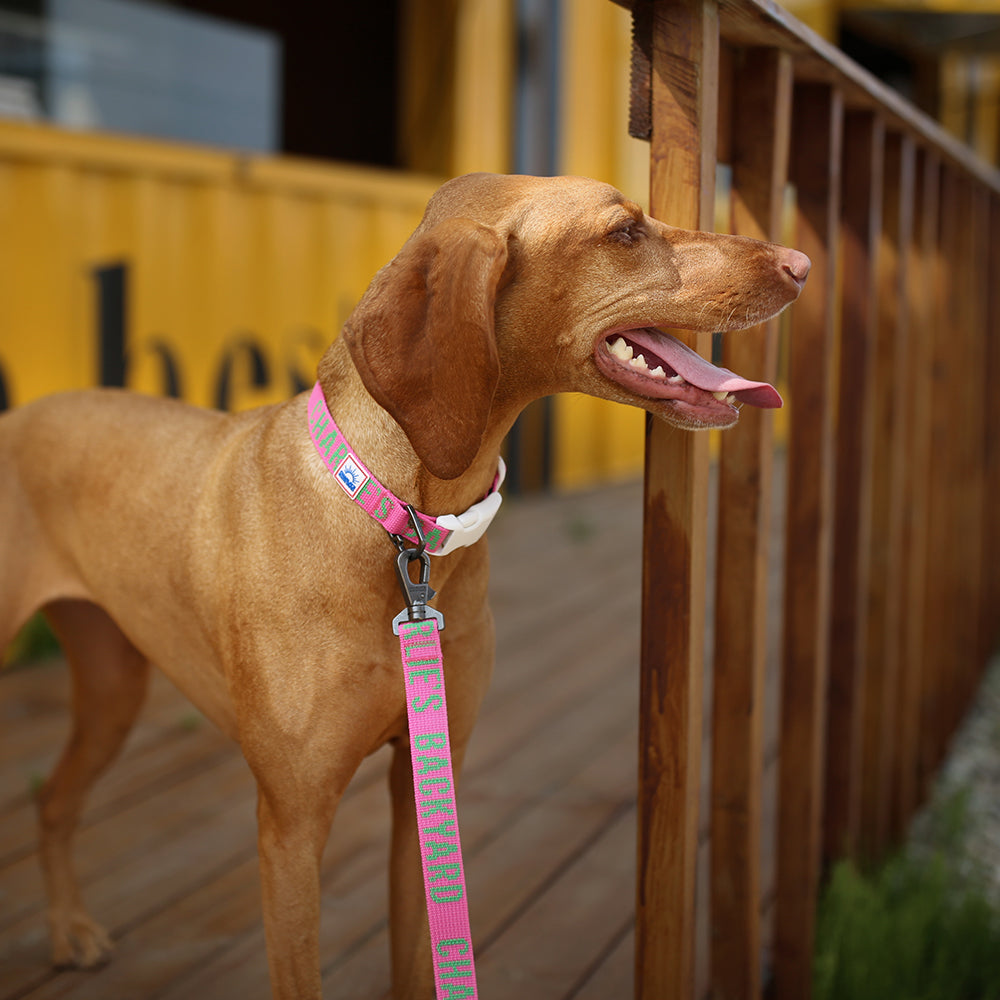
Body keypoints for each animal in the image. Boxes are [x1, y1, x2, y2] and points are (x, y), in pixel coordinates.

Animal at [0, 176, 804, 996]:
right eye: (624, 231)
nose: (801, 263)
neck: (398, 517)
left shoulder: (422, 787)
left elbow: (422, 956)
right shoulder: (291, 825)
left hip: (112, 687)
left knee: (52, 800)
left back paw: (68, 929)